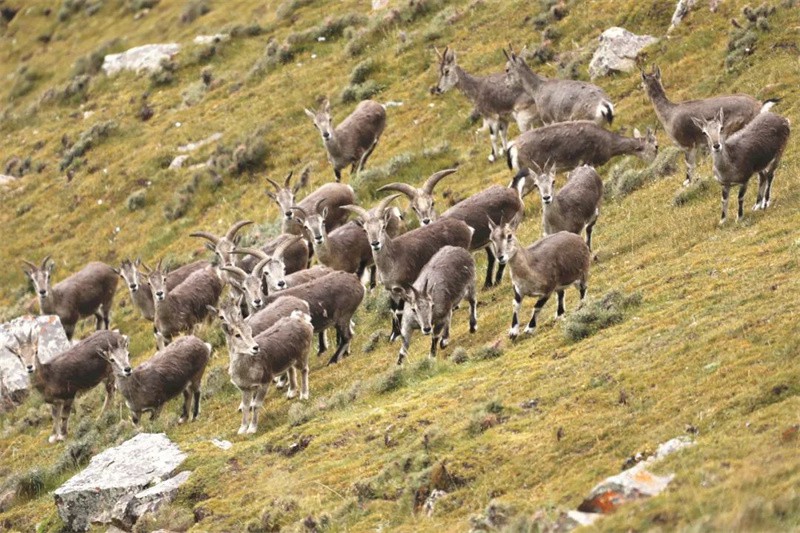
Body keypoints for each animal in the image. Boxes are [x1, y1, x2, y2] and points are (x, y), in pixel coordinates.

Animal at [640, 64, 780, 186]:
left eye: (643, 82)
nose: (640, 87)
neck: (668, 113)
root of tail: (758, 105)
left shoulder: (688, 145)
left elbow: (690, 165)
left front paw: (688, 183)